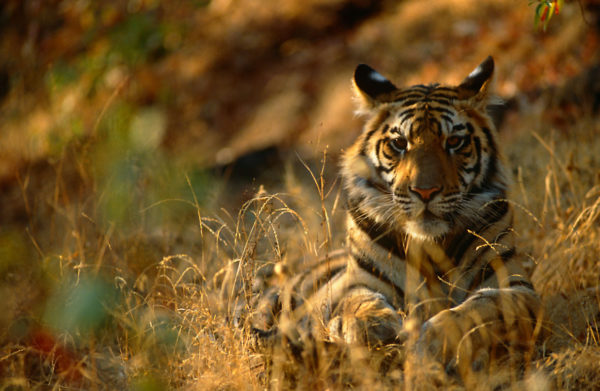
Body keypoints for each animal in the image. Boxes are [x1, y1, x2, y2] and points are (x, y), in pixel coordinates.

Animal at [238, 56, 544, 384]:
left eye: (454, 141)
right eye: (399, 143)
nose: (425, 191)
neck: (430, 246)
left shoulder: (517, 287)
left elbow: (477, 308)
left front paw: (431, 343)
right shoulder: (357, 282)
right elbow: (358, 304)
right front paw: (376, 330)